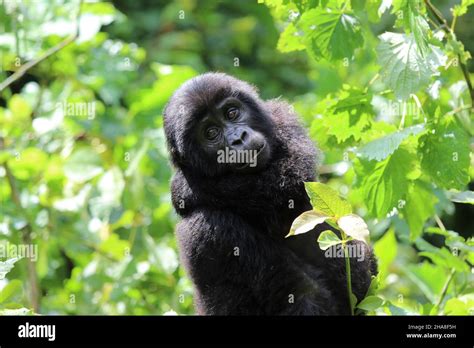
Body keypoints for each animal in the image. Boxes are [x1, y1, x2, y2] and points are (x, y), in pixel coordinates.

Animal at [164, 73, 378, 316]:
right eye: (210, 133)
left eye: (232, 113)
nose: (238, 138)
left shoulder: (284, 119)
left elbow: (289, 178)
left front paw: (185, 188)